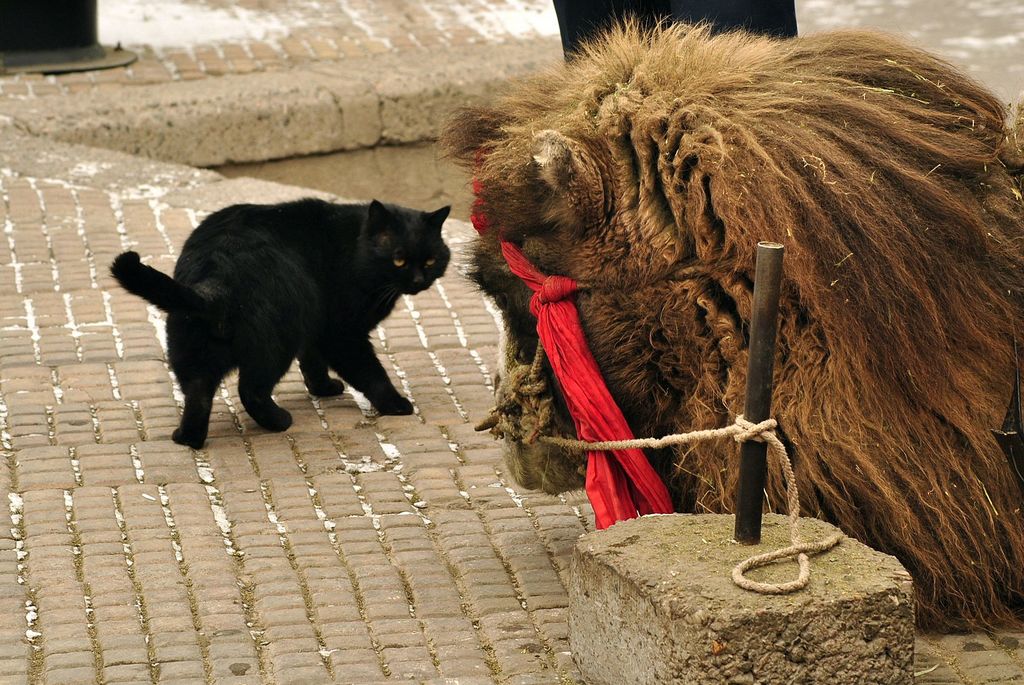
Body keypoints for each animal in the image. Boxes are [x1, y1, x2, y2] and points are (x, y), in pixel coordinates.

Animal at [110, 196, 450, 448]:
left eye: (431, 260)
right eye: (399, 259)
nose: (418, 281)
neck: (356, 248)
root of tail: (215, 277)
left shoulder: (314, 329)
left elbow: (312, 362)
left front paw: (323, 388)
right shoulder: (341, 333)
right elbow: (370, 373)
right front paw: (396, 404)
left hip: (191, 353)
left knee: (198, 396)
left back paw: (187, 439)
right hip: (276, 344)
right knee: (251, 390)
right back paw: (280, 421)